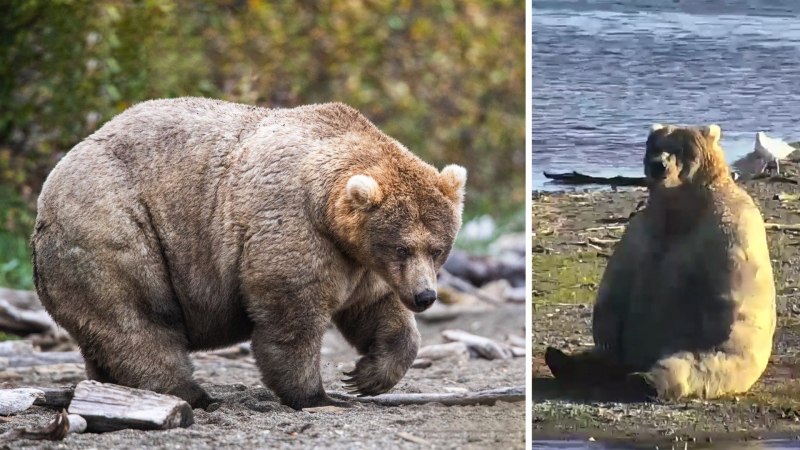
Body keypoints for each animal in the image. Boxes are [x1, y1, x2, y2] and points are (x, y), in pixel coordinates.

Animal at [30, 97, 467, 410]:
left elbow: (376, 310)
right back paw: (193, 394)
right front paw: (317, 395)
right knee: (138, 319)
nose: (425, 296)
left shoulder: (361, 263)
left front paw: (366, 376)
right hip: (115, 228)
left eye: (438, 248)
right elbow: (291, 316)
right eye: (402, 246)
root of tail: (47, 193)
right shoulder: (294, 227)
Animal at [545, 123, 776, 401]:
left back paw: (646, 379)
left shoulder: (728, 230)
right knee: (603, 357)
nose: (658, 165)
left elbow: (728, 292)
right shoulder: (642, 229)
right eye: (654, 146)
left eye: (680, 148)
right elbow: (617, 282)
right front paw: (602, 335)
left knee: (695, 362)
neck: (677, 209)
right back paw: (561, 359)